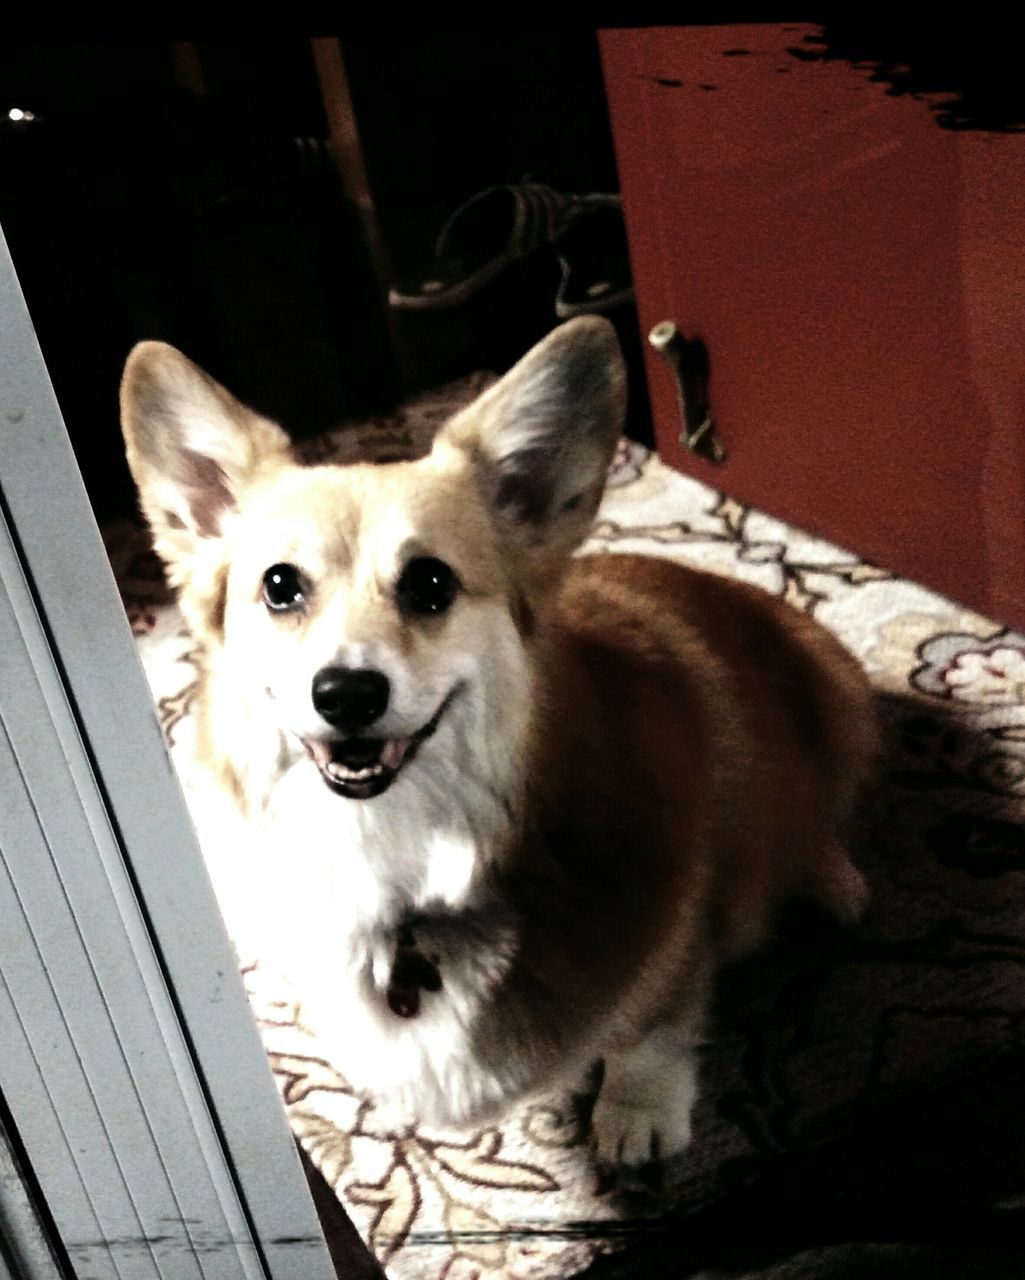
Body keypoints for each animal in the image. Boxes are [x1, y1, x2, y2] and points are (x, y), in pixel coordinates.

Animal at [120, 320, 870, 1172]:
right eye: (280, 586)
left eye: (429, 584)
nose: (345, 694)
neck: (405, 846)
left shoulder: (676, 929)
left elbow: (649, 1028)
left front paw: (635, 1112)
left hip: (840, 702)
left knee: (820, 819)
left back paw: (835, 883)